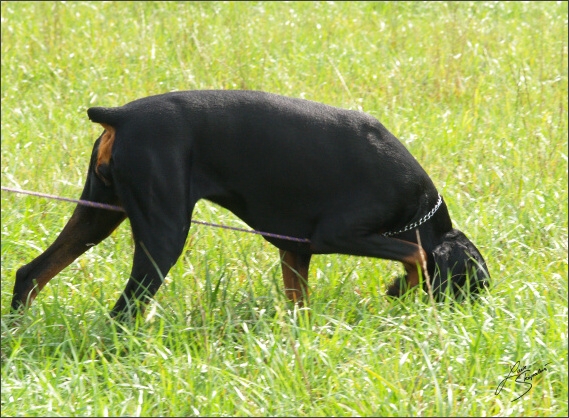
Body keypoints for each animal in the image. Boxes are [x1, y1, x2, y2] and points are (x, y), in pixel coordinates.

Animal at [8, 90, 488, 320]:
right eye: (471, 287)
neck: (420, 206)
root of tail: (120, 115)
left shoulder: (296, 251)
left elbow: (300, 304)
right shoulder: (339, 234)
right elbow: (417, 253)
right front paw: (399, 287)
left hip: (98, 215)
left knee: (31, 274)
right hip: (163, 233)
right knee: (123, 310)